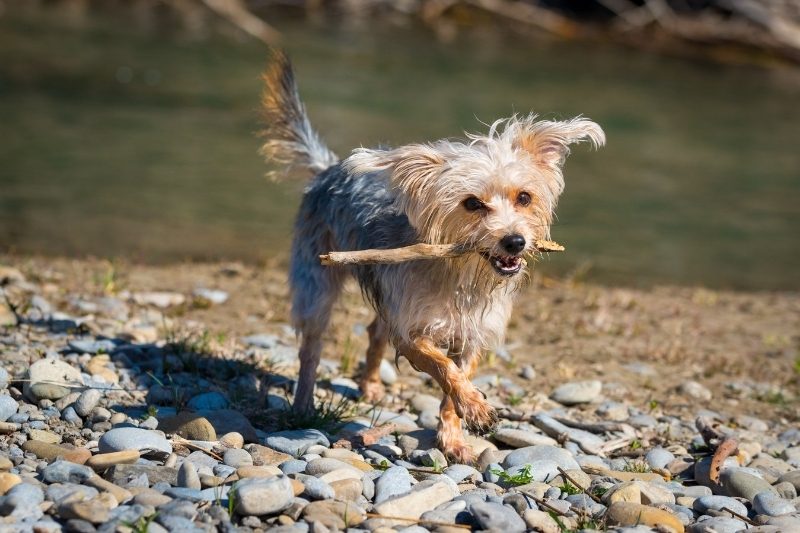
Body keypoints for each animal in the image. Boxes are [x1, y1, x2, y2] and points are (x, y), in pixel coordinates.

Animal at [260, 53, 604, 462]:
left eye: (524, 197)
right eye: (472, 204)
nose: (515, 242)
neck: (460, 275)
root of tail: (328, 169)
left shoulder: (472, 334)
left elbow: (454, 382)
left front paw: (453, 435)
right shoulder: (413, 332)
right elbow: (444, 369)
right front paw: (477, 409)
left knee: (376, 331)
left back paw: (370, 384)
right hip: (317, 282)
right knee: (311, 348)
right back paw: (302, 406)